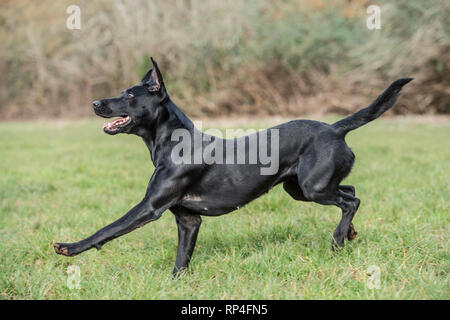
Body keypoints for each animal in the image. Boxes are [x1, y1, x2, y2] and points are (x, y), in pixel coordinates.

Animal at [52, 57, 412, 276]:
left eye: (128, 95)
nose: (95, 103)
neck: (171, 141)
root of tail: (336, 128)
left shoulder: (149, 207)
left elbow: (108, 229)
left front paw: (70, 247)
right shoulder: (188, 220)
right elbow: (181, 258)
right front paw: (175, 283)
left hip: (314, 187)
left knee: (351, 200)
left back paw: (338, 239)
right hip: (299, 187)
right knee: (350, 191)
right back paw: (349, 233)